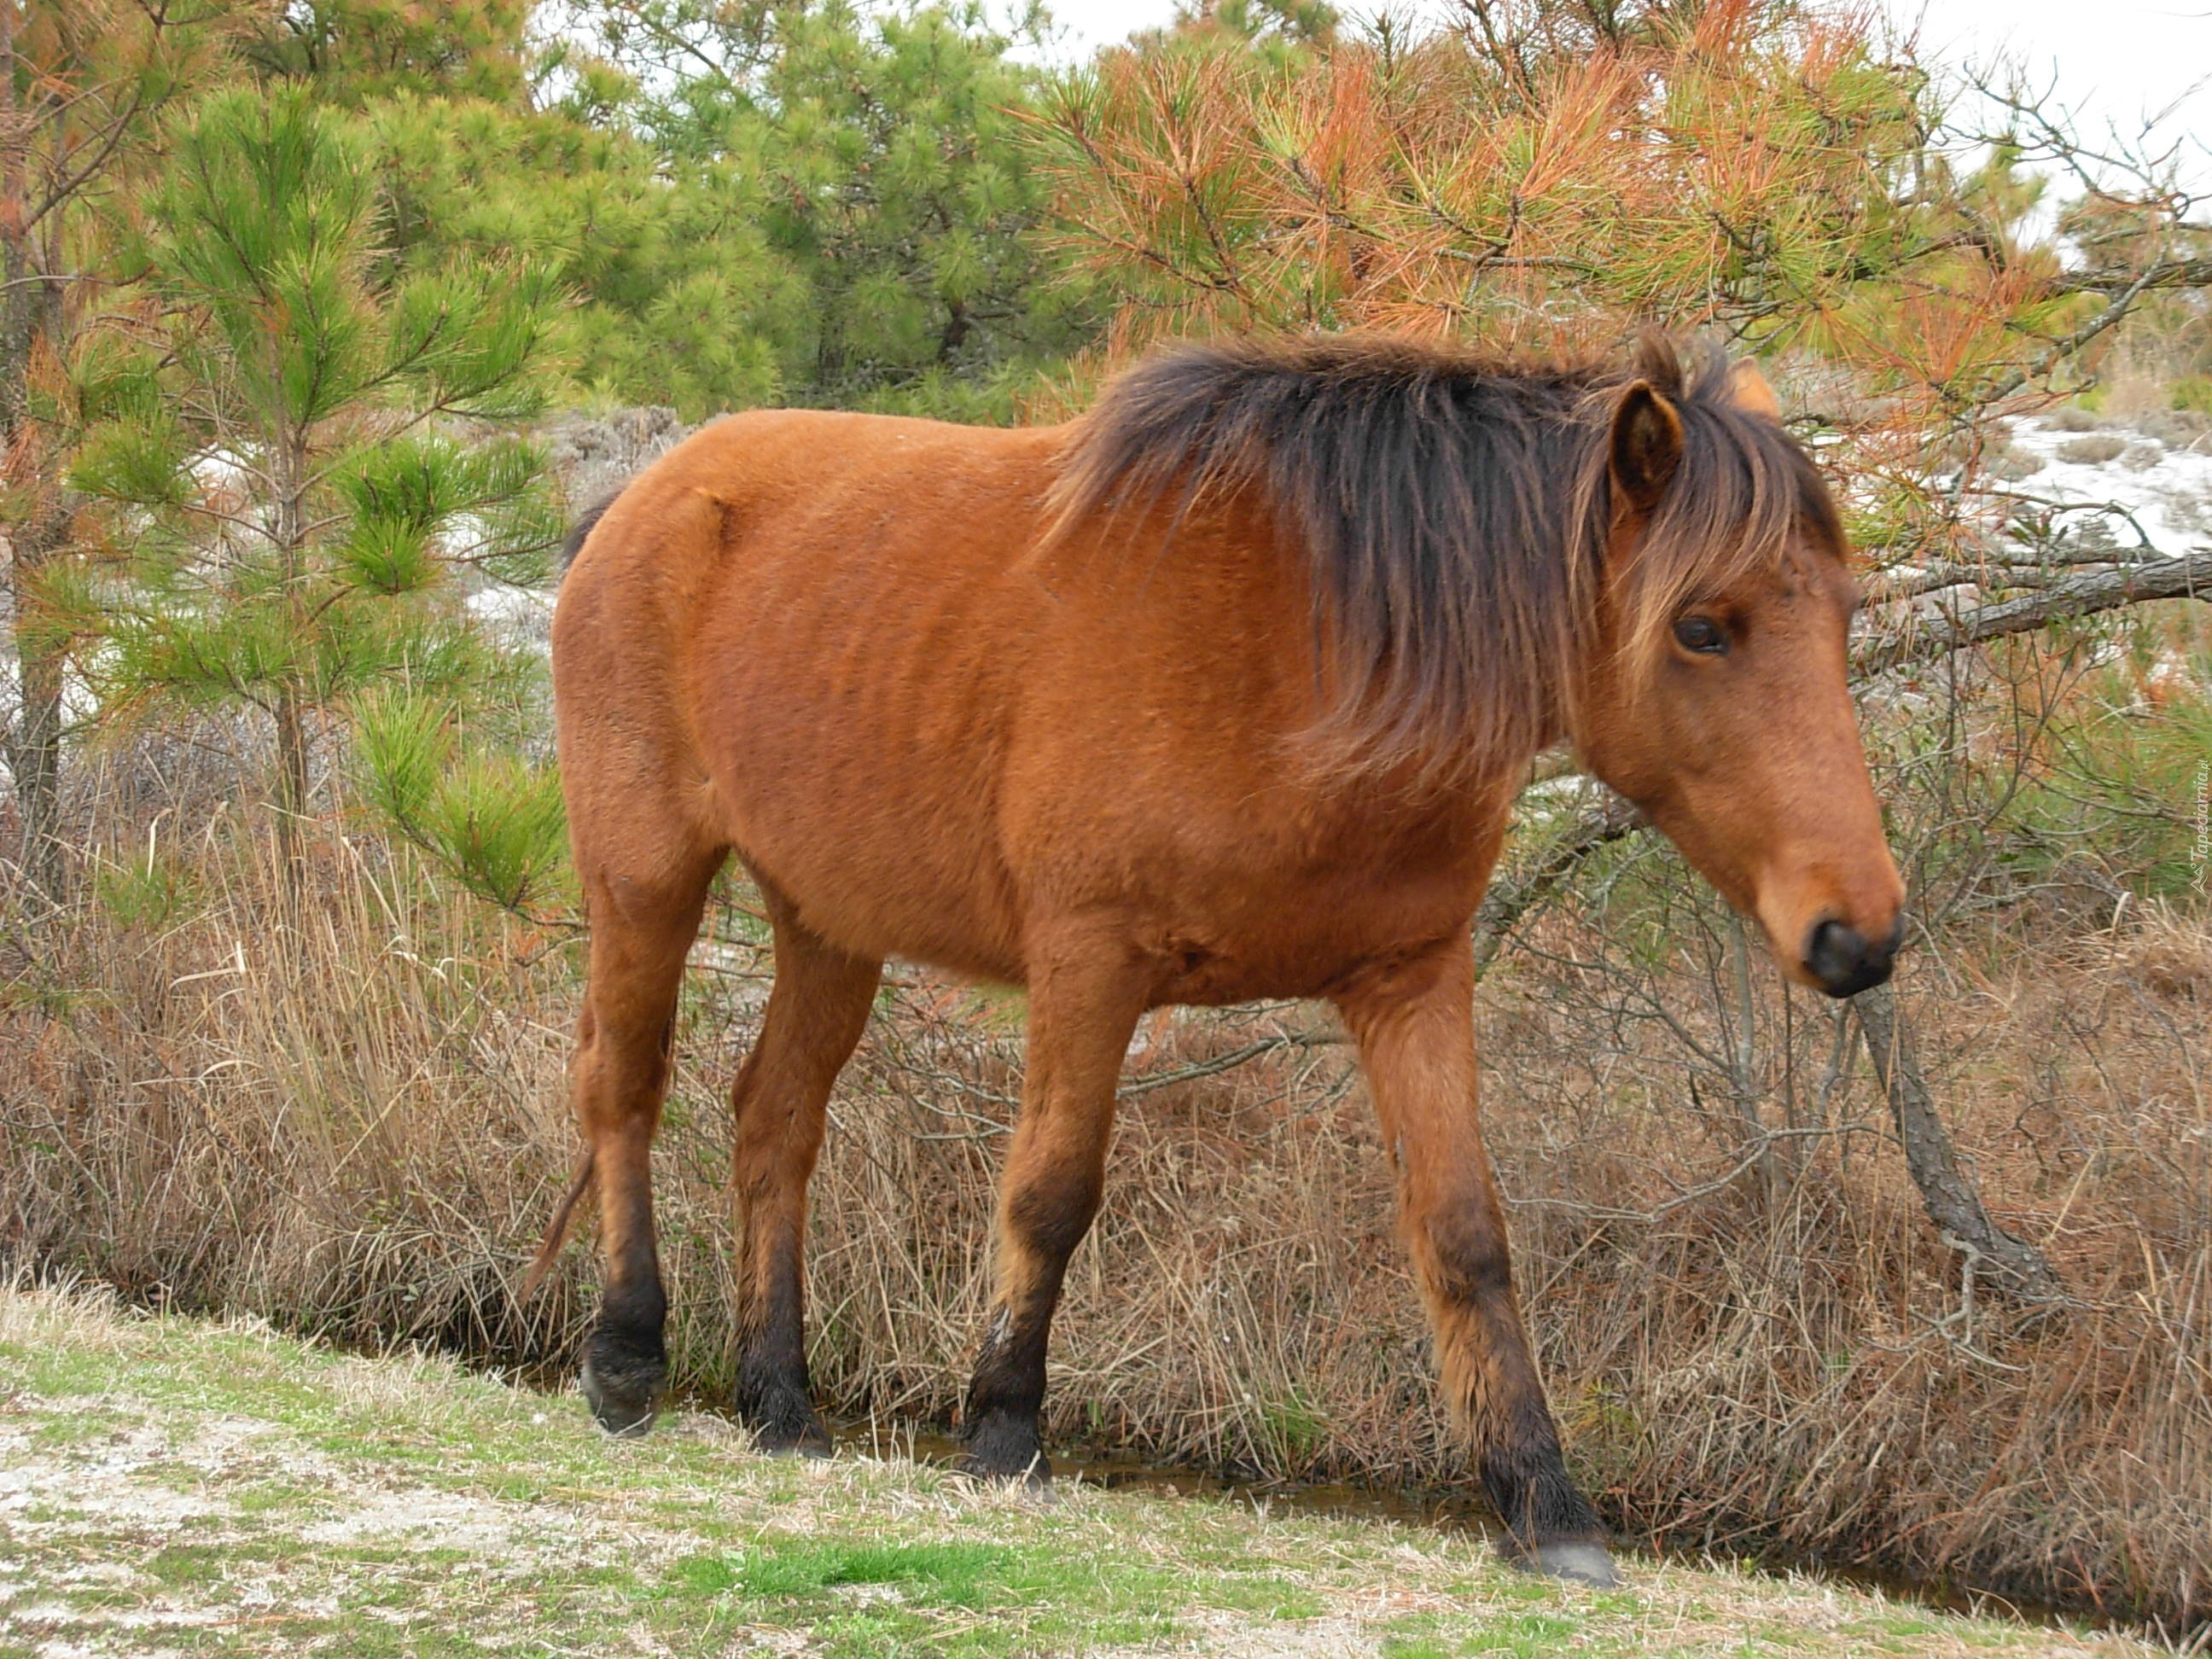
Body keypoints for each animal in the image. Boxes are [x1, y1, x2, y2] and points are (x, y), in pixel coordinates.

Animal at [535, 334, 1902, 1583]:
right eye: (1702, 627)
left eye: (1843, 615)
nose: (1862, 934)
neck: (1310, 644)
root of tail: (643, 499)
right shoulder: (1090, 965)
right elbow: (1050, 1193)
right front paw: (1003, 1432)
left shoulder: (1412, 979)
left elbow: (1464, 1233)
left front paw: (1543, 1504)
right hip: (645, 881)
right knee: (624, 1087)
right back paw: (626, 1357)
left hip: (828, 925)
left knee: (773, 1120)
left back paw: (780, 1403)